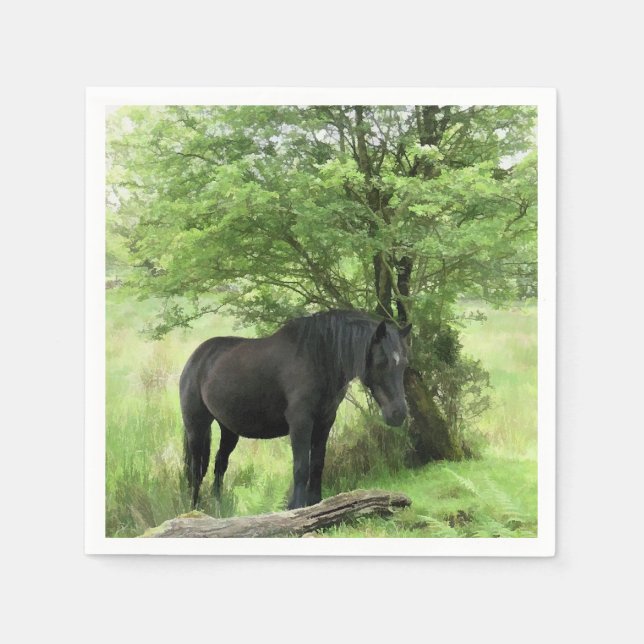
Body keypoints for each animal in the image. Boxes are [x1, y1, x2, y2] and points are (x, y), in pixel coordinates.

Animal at [179, 309, 412, 510]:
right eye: (381, 362)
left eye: (404, 363)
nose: (398, 414)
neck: (318, 359)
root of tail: (195, 358)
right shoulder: (300, 422)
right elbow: (301, 467)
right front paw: (296, 507)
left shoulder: (325, 422)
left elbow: (317, 465)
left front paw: (316, 503)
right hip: (196, 427)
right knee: (196, 471)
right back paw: (194, 510)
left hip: (228, 430)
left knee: (219, 466)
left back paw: (219, 509)